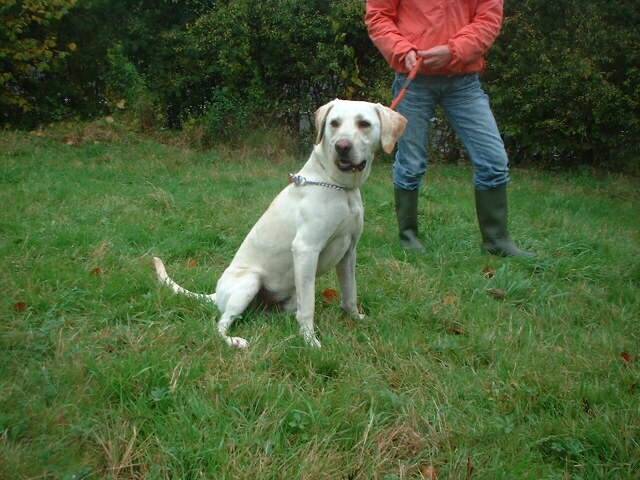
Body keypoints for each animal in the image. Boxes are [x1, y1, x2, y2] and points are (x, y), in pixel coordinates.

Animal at [154, 100, 404, 348]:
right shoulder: (305, 250)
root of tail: (216, 293)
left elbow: (350, 293)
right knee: (221, 323)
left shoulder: (349, 252)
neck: (339, 186)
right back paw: (233, 340)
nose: (342, 146)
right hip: (250, 282)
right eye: (334, 123)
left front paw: (356, 318)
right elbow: (308, 308)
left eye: (364, 124)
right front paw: (310, 341)